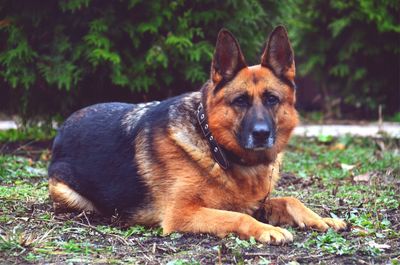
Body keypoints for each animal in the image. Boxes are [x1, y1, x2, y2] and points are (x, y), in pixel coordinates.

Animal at [48, 26, 346, 243]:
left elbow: (290, 199)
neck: (215, 147)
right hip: (69, 194)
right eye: (240, 101)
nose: (261, 134)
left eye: (272, 99)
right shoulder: (182, 214)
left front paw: (321, 219)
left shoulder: (253, 203)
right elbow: (238, 218)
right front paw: (266, 229)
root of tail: (64, 125)